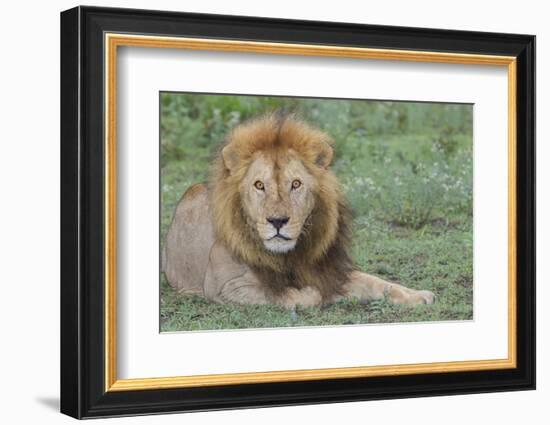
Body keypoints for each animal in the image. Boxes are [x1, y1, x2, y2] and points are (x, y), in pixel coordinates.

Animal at [162, 113, 438, 308]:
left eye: (295, 184)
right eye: (259, 185)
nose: (277, 221)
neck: (290, 255)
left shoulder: (331, 271)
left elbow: (378, 282)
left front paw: (419, 295)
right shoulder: (225, 287)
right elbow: (298, 296)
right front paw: (316, 294)